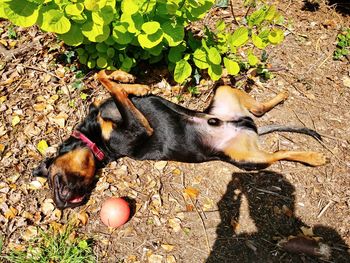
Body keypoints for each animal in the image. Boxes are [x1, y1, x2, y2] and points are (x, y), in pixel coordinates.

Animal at [32, 70, 326, 210]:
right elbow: (114, 88)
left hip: (225, 93)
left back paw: (280, 97)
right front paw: (127, 82)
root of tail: (249, 127)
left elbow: (108, 81)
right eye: (58, 190)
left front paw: (132, 81)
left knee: (259, 109)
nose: (63, 203)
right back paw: (312, 157)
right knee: (276, 154)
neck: (93, 137)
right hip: (246, 159)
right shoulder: (139, 128)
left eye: (54, 182)